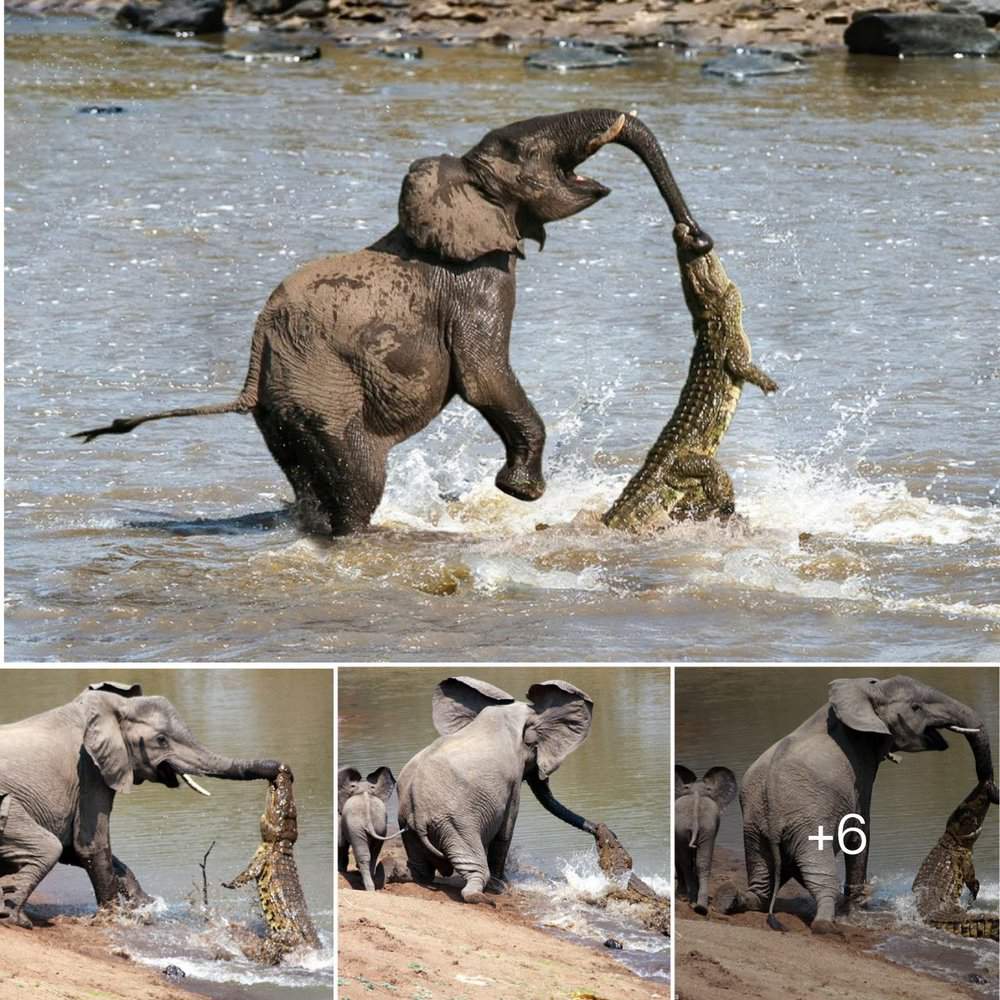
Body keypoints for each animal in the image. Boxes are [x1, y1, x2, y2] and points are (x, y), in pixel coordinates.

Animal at [0, 682, 281, 928]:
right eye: (161, 740)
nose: (279, 769)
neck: (112, 708)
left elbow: (77, 851)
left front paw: (148, 906)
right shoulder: (89, 771)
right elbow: (90, 846)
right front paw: (114, 919)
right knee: (48, 847)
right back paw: (16, 920)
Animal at [73, 109, 713, 536]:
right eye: (518, 149)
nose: (695, 236)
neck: (458, 182)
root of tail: (253, 367)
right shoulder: (476, 282)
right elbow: (484, 377)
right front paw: (521, 493)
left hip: (284, 411)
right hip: (324, 393)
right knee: (360, 481)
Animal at [396, 676, 599, 903]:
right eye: (536, 748)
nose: (600, 831)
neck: (505, 715)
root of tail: (418, 810)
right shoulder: (513, 779)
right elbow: (505, 831)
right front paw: (504, 884)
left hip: (408, 825)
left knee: (420, 869)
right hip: (455, 823)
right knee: (475, 868)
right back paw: (483, 896)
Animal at [715, 675, 998, 934]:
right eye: (916, 707)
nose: (990, 788)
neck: (864, 692)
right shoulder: (859, 769)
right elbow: (861, 830)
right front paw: (860, 905)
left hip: (754, 828)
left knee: (762, 883)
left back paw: (730, 899)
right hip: (807, 826)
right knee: (820, 878)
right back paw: (826, 924)